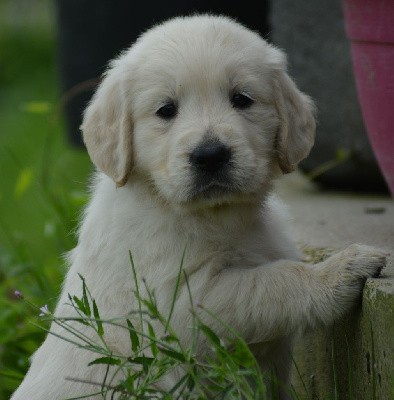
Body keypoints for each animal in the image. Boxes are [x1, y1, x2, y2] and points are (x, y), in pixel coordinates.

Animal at [11, 14, 384, 400]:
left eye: (241, 99)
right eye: (166, 110)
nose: (210, 155)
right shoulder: (185, 301)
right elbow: (275, 281)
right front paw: (338, 271)